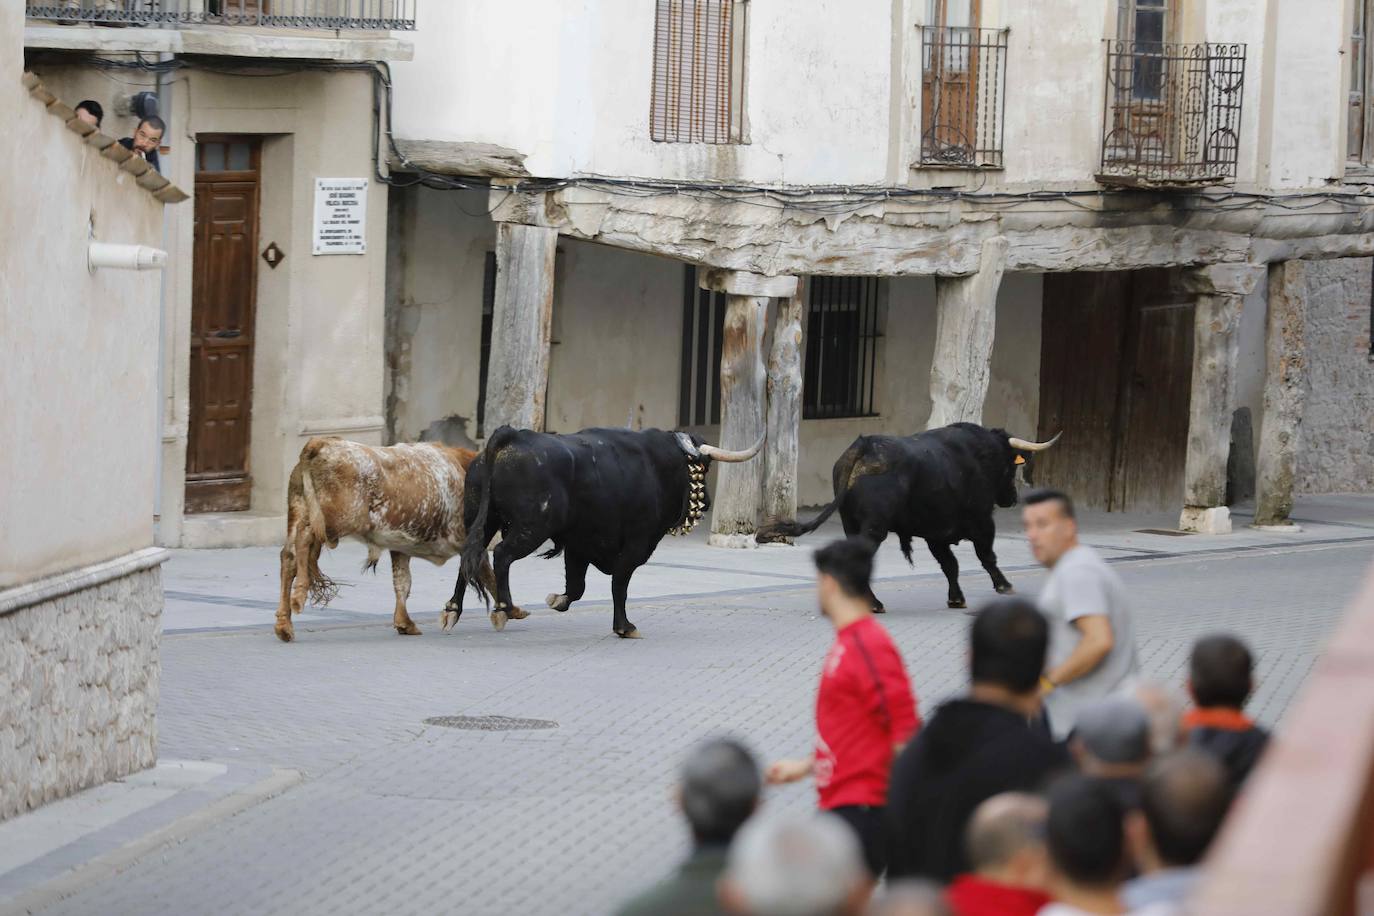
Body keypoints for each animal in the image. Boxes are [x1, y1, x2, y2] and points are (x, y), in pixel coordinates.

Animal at [273, 439, 494, 645]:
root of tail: (321, 443)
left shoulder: (401, 545)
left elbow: (402, 581)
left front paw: (404, 623)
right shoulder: (470, 543)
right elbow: (489, 576)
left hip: (300, 509)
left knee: (289, 557)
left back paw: (284, 625)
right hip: (334, 520)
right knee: (304, 537)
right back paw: (299, 595)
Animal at [447, 425, 763, 634]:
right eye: (704, 469)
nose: (707, 502)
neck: (657, 463)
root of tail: (512, 435)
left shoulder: (579, 545)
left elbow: (577, 588)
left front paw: (557, 600)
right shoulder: (637, 544)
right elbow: (619, 585)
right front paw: (624, 626)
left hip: (483, 519)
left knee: (470, 557)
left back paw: (452, 610)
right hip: (531, 528)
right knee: (501, 555)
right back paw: (508, 608)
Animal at [752, 425, 1060, 612]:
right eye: (1011, 466)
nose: (1012, 498)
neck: (978, 455)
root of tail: (865, 446)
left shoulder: (937, 533)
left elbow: (950, 565)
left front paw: (956, 598)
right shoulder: (982, 521)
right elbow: (986, 556)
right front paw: (1004, 585)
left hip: (852, 524)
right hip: (874, 529)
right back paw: (874, 603)